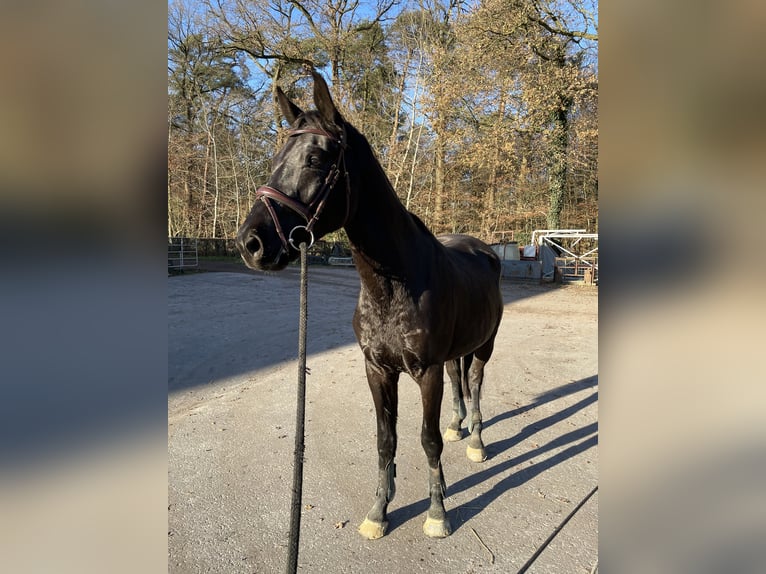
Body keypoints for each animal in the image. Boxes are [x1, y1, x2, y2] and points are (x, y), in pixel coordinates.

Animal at [237, 71, 508, 540]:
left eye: (315, 159)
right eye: (276, 157)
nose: (251, 243)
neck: (395, 286)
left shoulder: (426, 372)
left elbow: (428, 440)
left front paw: (437, 513)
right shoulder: (377, 370)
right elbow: (386, 439)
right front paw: (379, 510)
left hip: (484, 346)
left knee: (473, 383)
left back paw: (475, 440)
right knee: (459, 381)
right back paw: (459, 426)